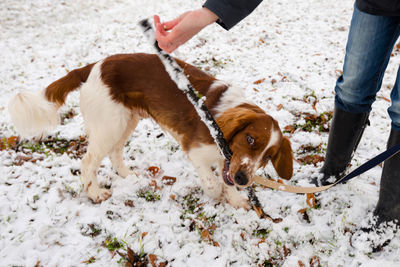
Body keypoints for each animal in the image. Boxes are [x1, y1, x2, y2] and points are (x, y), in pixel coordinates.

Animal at [7, 54, 292, 209]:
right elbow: (213, 182)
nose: (244, 179)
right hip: (110, 125)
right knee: (88, 162)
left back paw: (128, 176)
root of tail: (95, 66)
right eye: (250, 138)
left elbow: (225, 177)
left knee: (115, 153)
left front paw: (234, 198)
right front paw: (217, 193)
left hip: (126, 120)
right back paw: (95, 194)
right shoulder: (194, 149)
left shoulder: (229, 163)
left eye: (268, 157)